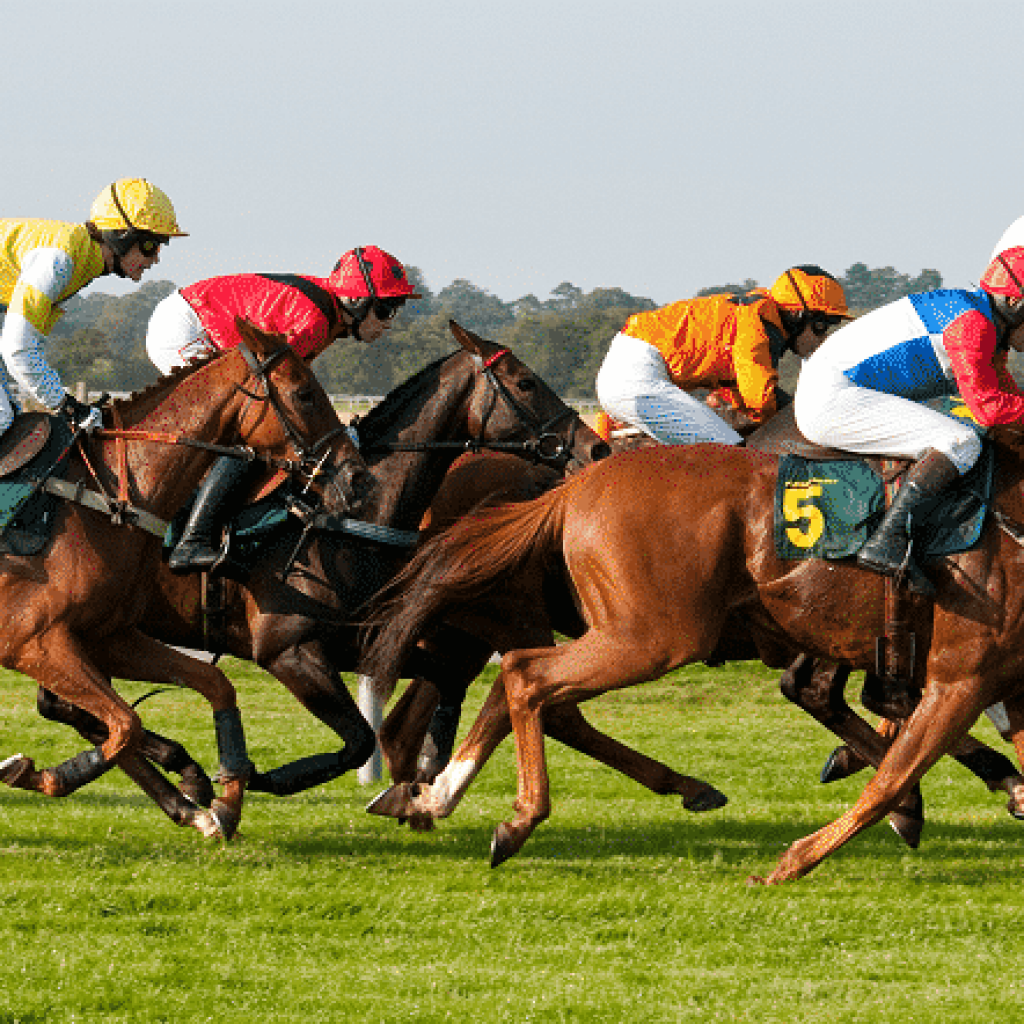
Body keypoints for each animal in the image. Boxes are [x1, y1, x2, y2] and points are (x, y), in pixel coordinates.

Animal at [0, 321, 364, 839]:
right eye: (304, 393)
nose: (357, 478)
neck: (104, 498)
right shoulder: (32, 641)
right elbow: (124, 725)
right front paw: (44, 774)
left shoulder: (105, 636)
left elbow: (206, 686)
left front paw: (218, 802)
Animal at [362, 436, 1024, 884]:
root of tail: (576, 484)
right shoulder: (959, 677)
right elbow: (892, 779)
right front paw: (789, 863)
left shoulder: (999, 680)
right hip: (649, 636)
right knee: (527, 675)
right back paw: (517, 816)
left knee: (519, 683)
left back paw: (430, 794)